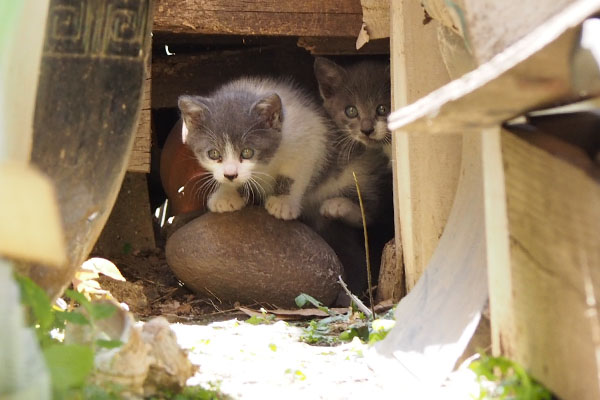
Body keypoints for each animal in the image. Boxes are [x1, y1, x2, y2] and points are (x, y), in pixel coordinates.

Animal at [176, 76, 330, 220]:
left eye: (247, 152)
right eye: (213, 153)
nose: (230, 175)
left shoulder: (310, 136)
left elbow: (294, 171)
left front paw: (283, 201)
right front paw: (226, 194)